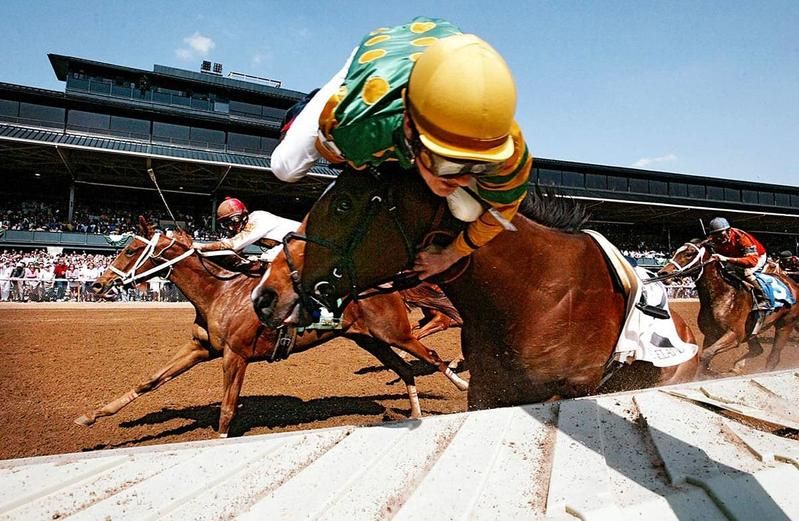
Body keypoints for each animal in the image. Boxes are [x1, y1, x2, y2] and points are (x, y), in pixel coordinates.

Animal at [77, 215, 466, 434]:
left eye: (130, 250)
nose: (97, 285)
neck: (220, 292)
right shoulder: (200, 347)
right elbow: (149, 381)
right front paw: (93, 416)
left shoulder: (235, 356)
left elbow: (227, 410)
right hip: (369, 339)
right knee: (406, 368)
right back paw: (413, 414)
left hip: (393, 332)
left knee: (430, 355)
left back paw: (461, 385)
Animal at [656, 240, 799, 374]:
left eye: (689, 253)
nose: (663, 273)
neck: (724, 295)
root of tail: (793, 284)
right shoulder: (711, 334)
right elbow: (706, 357)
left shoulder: (735, 334)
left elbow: (706, 354)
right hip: (752, 331)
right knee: (757, 350)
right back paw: (737, 367)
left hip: (785, 324)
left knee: (774, 357)